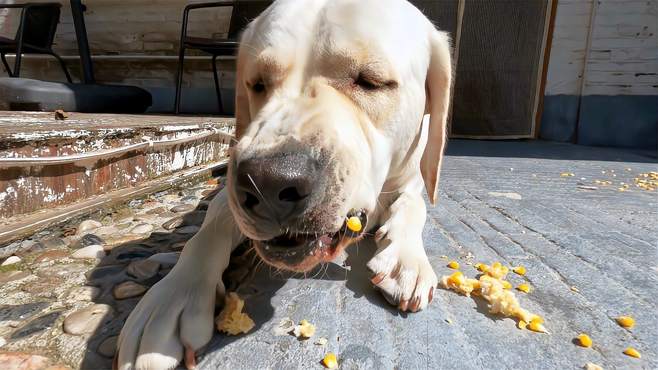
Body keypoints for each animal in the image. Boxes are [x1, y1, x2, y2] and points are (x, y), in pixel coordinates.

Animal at [115, 0, 448, 368]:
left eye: (371, 82)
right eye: (257, 84)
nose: (268, 182)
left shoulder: (412, 181)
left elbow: (413, 206)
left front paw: (406, 258)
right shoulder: (228, 197)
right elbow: (208, 228)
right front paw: (172, 298)